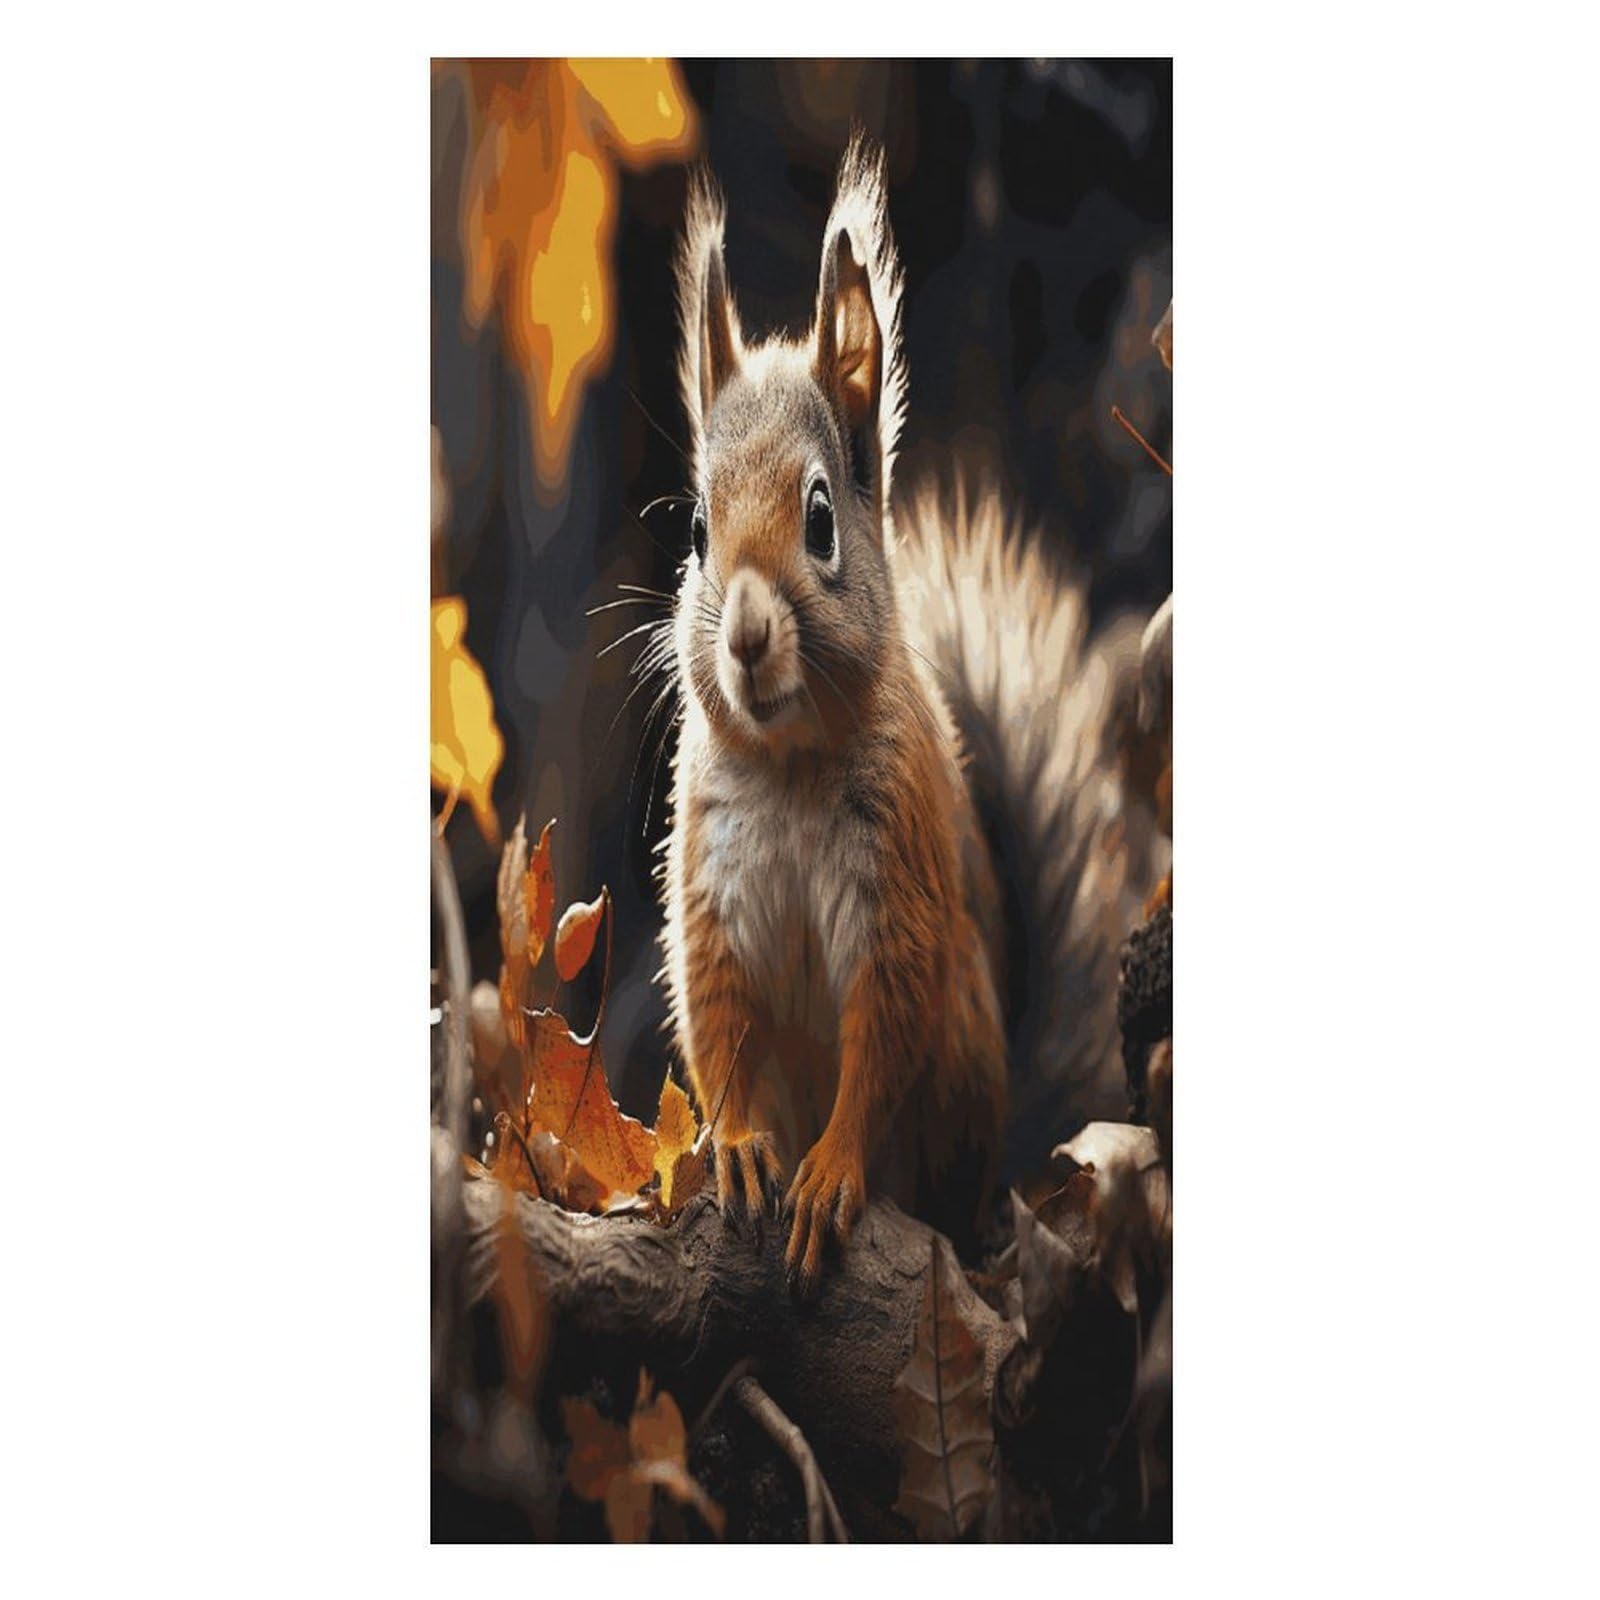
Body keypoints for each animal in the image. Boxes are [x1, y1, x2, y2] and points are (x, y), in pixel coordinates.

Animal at [658, 136, 1166, 1295]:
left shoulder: (899, 883)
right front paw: (743, 1144)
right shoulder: (713, 885)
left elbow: (883, 1033)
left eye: (820, 519)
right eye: (698, 531)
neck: (791, 768)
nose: (744, 637)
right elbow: (718, 1021)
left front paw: (832, 1170)